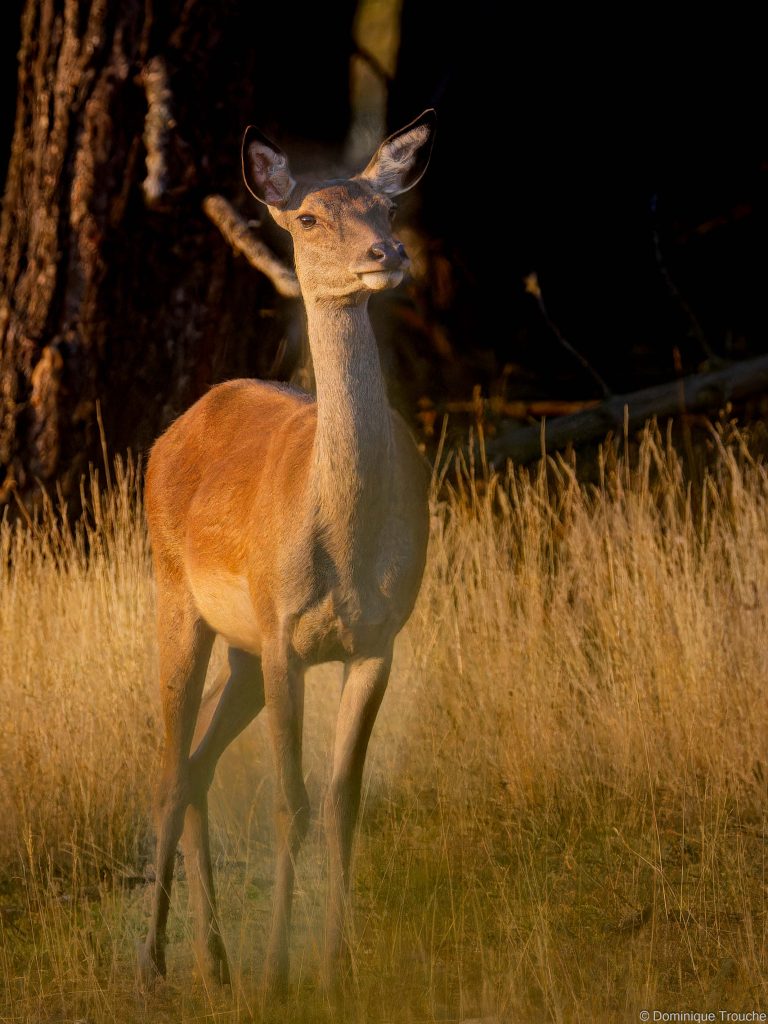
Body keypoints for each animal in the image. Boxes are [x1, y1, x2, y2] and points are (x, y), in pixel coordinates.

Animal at [139, 110, 435, 996]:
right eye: (307, 217)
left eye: (384, 204)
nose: (387, 254)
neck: (345, 541)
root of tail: (173, 430)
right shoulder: (282, 635)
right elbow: (289, 804)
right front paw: (279, 972)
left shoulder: (378, 640)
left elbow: (341, 803)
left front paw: (340, 966)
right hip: (177, 597)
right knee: (170, 768)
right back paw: (156, 962)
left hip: (237, 651)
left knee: (198, 765)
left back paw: (213, 960)